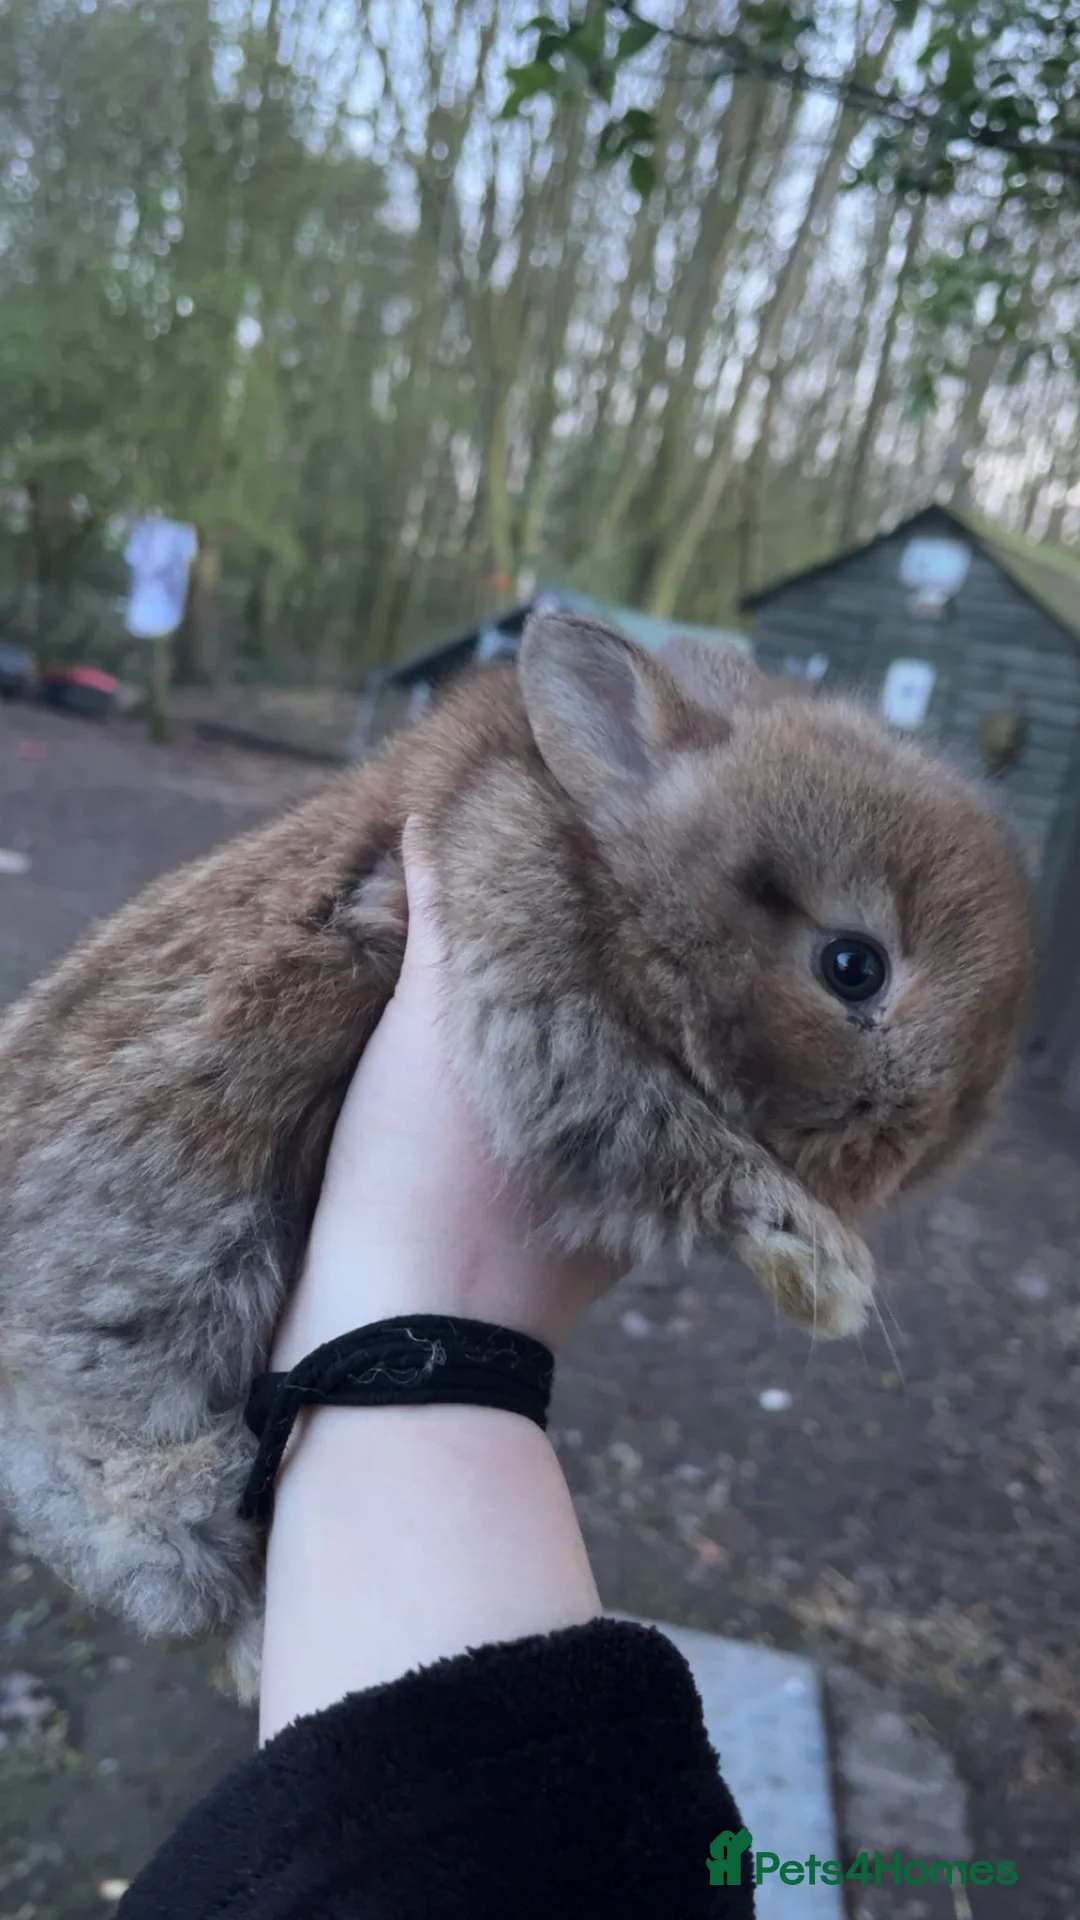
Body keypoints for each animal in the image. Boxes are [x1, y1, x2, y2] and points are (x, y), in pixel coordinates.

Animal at [0, 612, 1035, 1698]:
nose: (924, 1148)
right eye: (852, 966)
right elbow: (657, 1129)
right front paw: (828, 1272)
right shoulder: (530, 963)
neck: (606, 853)